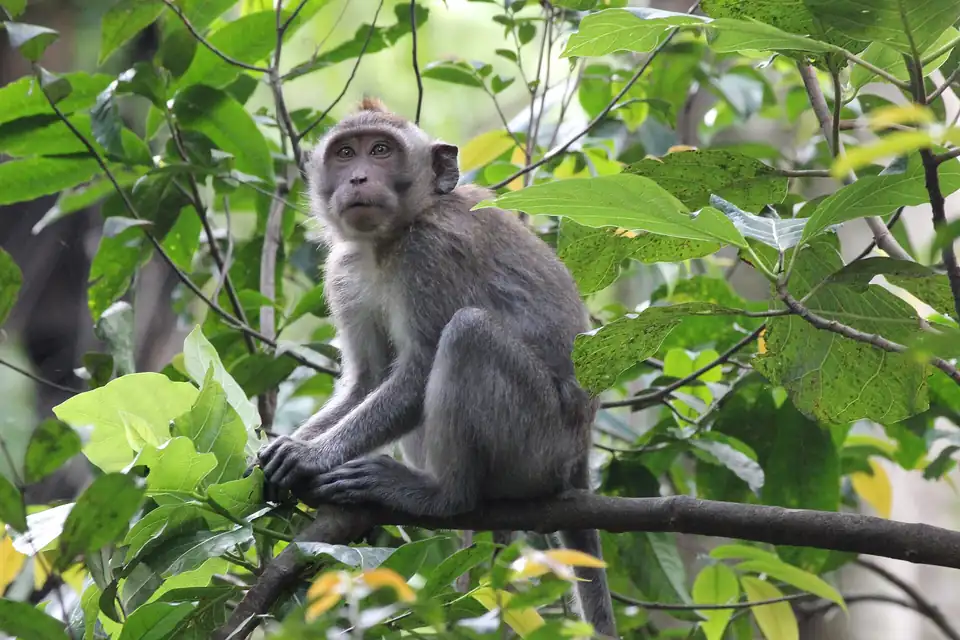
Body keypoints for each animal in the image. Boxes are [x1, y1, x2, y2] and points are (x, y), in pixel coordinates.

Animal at [257, 97, 616, 637]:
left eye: (381, 151)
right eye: (345, 152)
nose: (358, 177)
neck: (390, 238)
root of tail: (578, 461)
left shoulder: (429, 254)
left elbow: (418, 368)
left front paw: (310, 456)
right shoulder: (343, 271)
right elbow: (368, 379)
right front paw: (284, 447)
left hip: (538, 445)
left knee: (468, 333)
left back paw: (444, 495)